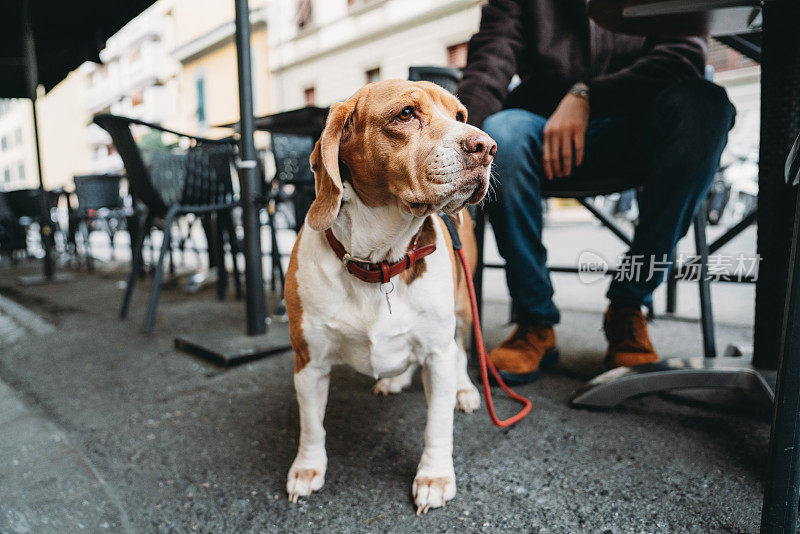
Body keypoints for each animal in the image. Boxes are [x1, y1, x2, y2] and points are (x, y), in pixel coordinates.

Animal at [284, 79, 496, 516]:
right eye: (406, 114)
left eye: (460, 116)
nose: (486, 147)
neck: (379, 261)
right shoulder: (308, 362)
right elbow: (311, 425)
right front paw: (307, 469)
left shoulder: (437, 354)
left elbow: (437, 425)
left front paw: (434, 477)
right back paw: (395, 379)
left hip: (463, 310)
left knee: (463, 351)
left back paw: (465, 389)